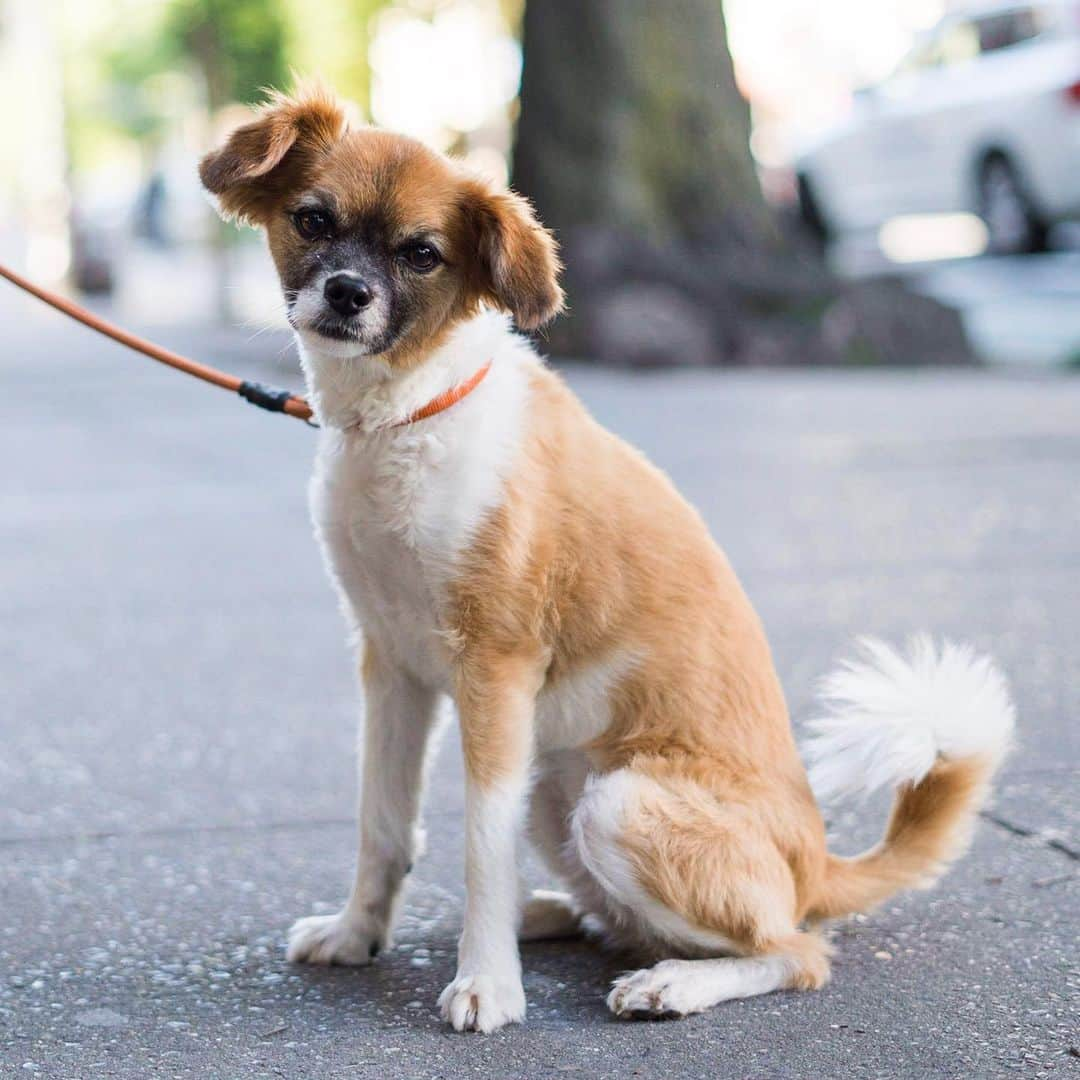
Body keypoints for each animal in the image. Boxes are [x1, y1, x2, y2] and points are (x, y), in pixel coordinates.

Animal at [200, 84, 1010, 1028]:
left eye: (423, 254)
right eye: (312, 219)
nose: (347, 293)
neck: (410, 415)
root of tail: (817, 864)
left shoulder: (497, 667)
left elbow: (480, 844)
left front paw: (488, 983)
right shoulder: (390, 663)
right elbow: (384, 824)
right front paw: (360, 933)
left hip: (616, 803)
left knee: (794, 949)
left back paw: (672, 980)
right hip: (557, 788)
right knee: (632, 915)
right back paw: (557, 913)